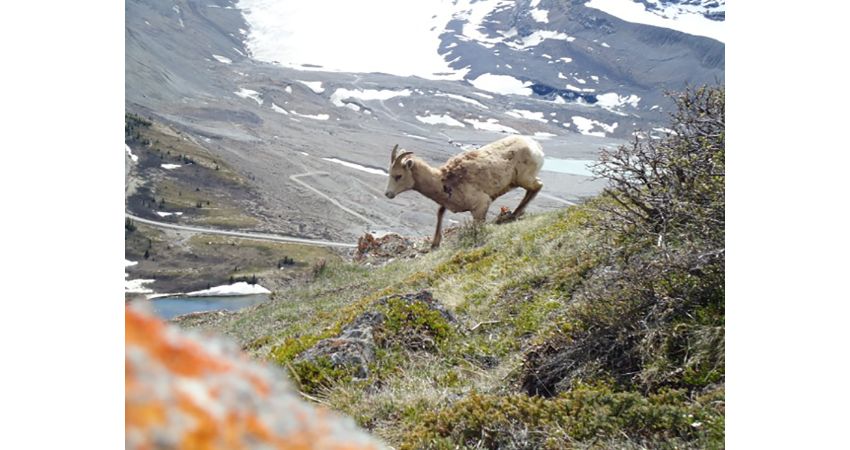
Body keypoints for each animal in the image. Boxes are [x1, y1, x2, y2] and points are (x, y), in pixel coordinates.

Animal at [384, 135, 544, 250]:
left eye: (398, 176)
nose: (388, 194)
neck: (443, 182)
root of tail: (536, 146)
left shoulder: (481, 205)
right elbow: (440, 213)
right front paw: (435, 244)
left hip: (524, 178)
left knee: (537, 186)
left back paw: (514, 215)